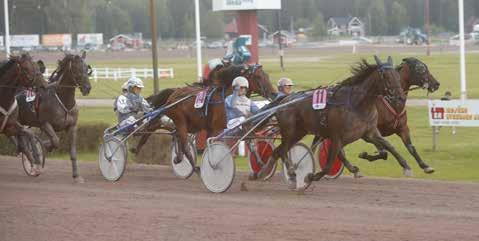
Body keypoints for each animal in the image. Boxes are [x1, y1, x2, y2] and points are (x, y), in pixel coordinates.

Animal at [17, 51, 92, 182]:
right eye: (77, 69)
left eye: (87, 68)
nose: (87, 88)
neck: (63, 100)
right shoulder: (45, 124)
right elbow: (55, 141)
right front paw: (43, 148)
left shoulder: (72, 126)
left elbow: (73, 152)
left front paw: (76, 176)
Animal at [144, 63, 276, 170]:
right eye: (258, 77)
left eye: (267, 76)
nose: (274, 93)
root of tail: (173, 94)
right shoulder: (217, 129)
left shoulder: (238, 125)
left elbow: (251, 143)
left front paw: (261, 163)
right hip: (180, 121)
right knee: (184, 144)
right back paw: (194, 168)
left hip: (191, 124)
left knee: (177, 136)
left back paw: (178, 158)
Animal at [270, 56, 408, 190]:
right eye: (386, 77)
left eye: (397, 75)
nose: (400, 97)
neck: (357, 104)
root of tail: (284, 100)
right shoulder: (337, 136)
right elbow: (328, 165)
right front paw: (310, 177)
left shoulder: (369, 133)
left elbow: (389, 147)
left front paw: (406, 166)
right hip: (289, 131)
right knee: (282, 150)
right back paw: (292, 173)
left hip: (299, 132)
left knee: (277, 151)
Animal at [312, 56, 442, 177]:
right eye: (421, 69)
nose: (436, 84)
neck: (392, 102)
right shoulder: (369, 132)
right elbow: (384, 152)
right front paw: (365, 155)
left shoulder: (402, 128)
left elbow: (410, 147)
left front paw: (425, 166)